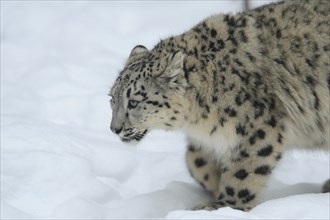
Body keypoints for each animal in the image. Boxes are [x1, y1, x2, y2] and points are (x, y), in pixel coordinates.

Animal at [110, 0, 330, 211]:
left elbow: (244, 169)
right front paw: (214, 182)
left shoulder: (259, 126)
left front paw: (224, 205)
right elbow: (194, 158)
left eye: (134, 101)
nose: (114, 129)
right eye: (112, 98)